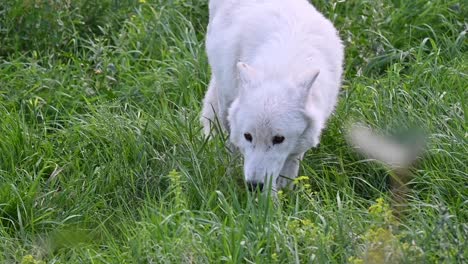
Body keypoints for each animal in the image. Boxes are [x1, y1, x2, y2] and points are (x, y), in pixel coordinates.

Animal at [201, 0, 344, 191]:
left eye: (278, 139)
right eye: (248, 136)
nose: (254, 185)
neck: (284, 65)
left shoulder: (298, 145)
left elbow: (289, 169)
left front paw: (286, 195)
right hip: (225, 102)